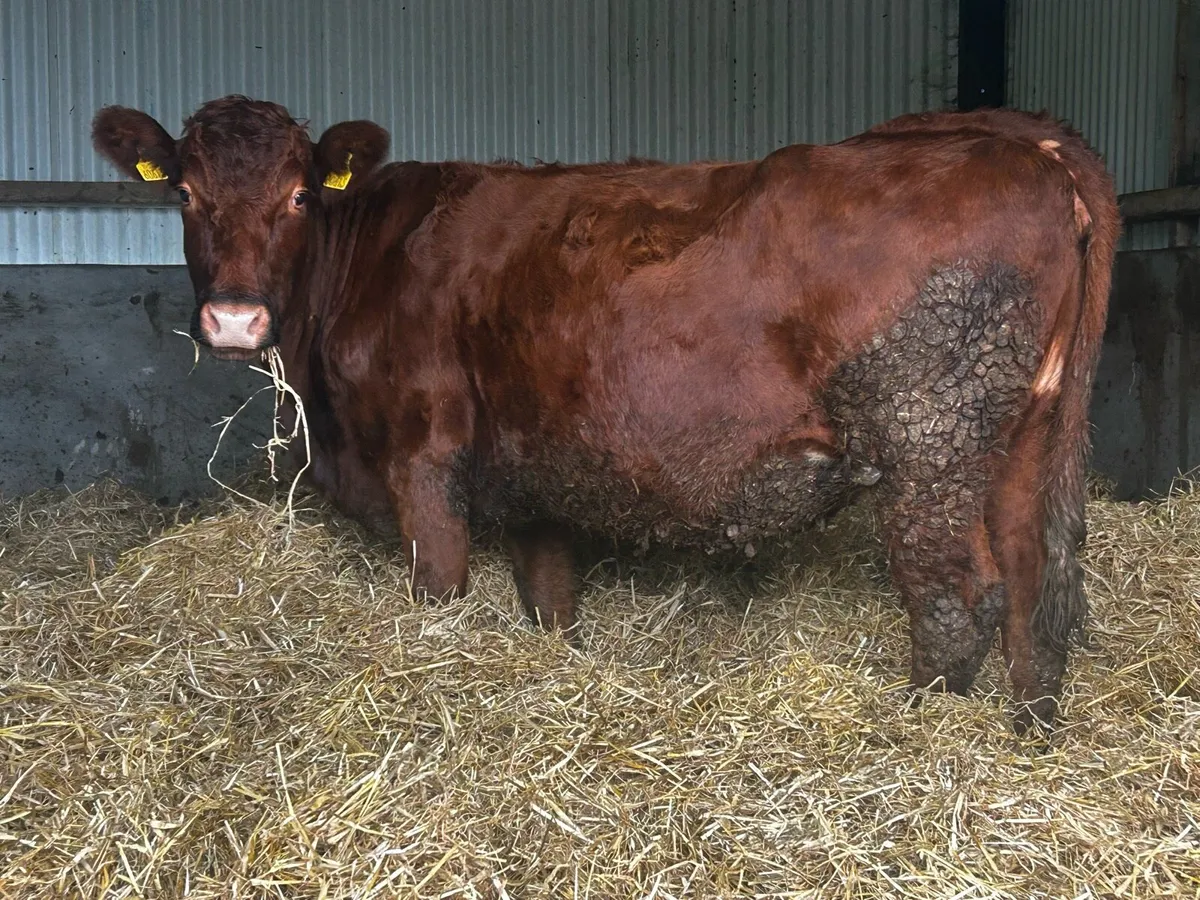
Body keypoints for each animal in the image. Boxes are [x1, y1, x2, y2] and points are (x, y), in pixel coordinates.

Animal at [93, 95, 1119, 734]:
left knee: (957, 598)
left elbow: (440, 596)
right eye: (184, 191)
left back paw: (913, 743)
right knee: (1038, 589)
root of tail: (1021, 140)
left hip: (929, 438)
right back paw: (1023, 743)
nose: (234, 317)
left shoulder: (425, 459)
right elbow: (552, 608)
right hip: (1024, 441)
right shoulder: (539, 476)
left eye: (301, 193)